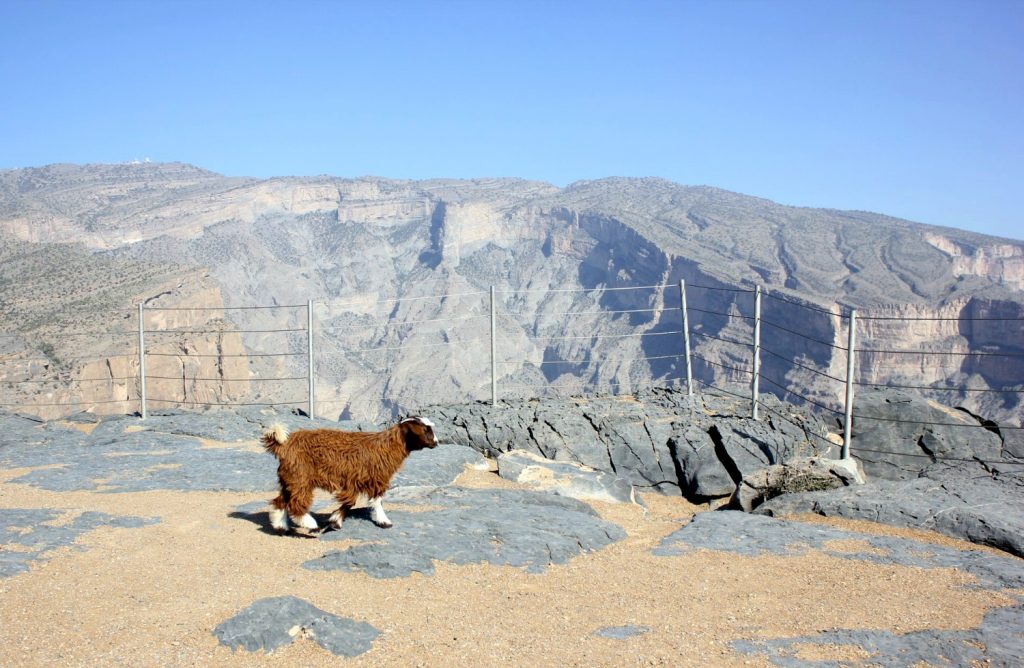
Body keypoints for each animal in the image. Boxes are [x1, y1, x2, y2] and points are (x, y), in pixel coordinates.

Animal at [261, 416, 439, 534]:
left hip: (290, 479)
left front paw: (335, 521)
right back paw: (310, 524)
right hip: (300, 477)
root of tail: (284, 446)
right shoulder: (372, 479)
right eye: (426, 430)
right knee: (296, 503)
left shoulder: (357, 481)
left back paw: (280, 526)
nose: (437, 442)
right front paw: (384, 522)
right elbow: (374, 501)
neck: (387, 447)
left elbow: (350, 502)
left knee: (280, 501)